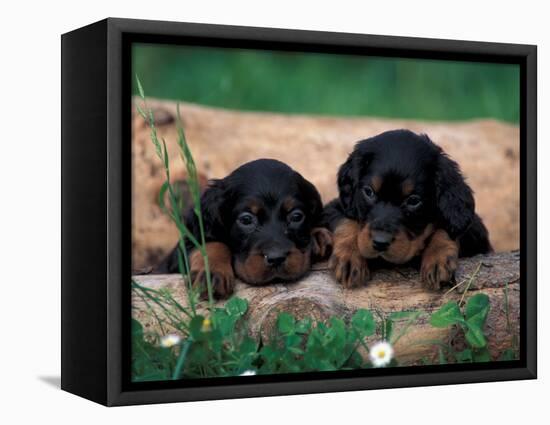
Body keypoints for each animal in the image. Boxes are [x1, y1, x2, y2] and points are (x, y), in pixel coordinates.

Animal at [157, 158, 334, 298]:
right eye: (246, 219)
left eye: (296, 216)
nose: (276, 258)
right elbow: (211, 243)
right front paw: (211, 273)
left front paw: (317, 236)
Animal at [322, 128, 494, 288]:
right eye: (369, 192)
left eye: (413, 201)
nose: (380, 242)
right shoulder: (336, 207)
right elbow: (346, 221)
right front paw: (349, 255)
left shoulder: (473, 227)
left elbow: (445, 227)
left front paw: (437, 257)